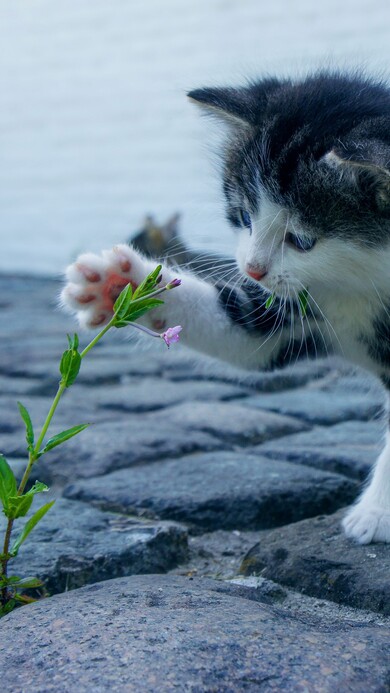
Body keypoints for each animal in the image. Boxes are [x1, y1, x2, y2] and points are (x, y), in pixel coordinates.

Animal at [61, 71, 390, 548]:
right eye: (244, 217)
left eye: (302, 240)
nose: (251, 269)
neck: (361, 284)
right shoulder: (299, 304)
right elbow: (246, 338)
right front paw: (118, 284)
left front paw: (375, 513)